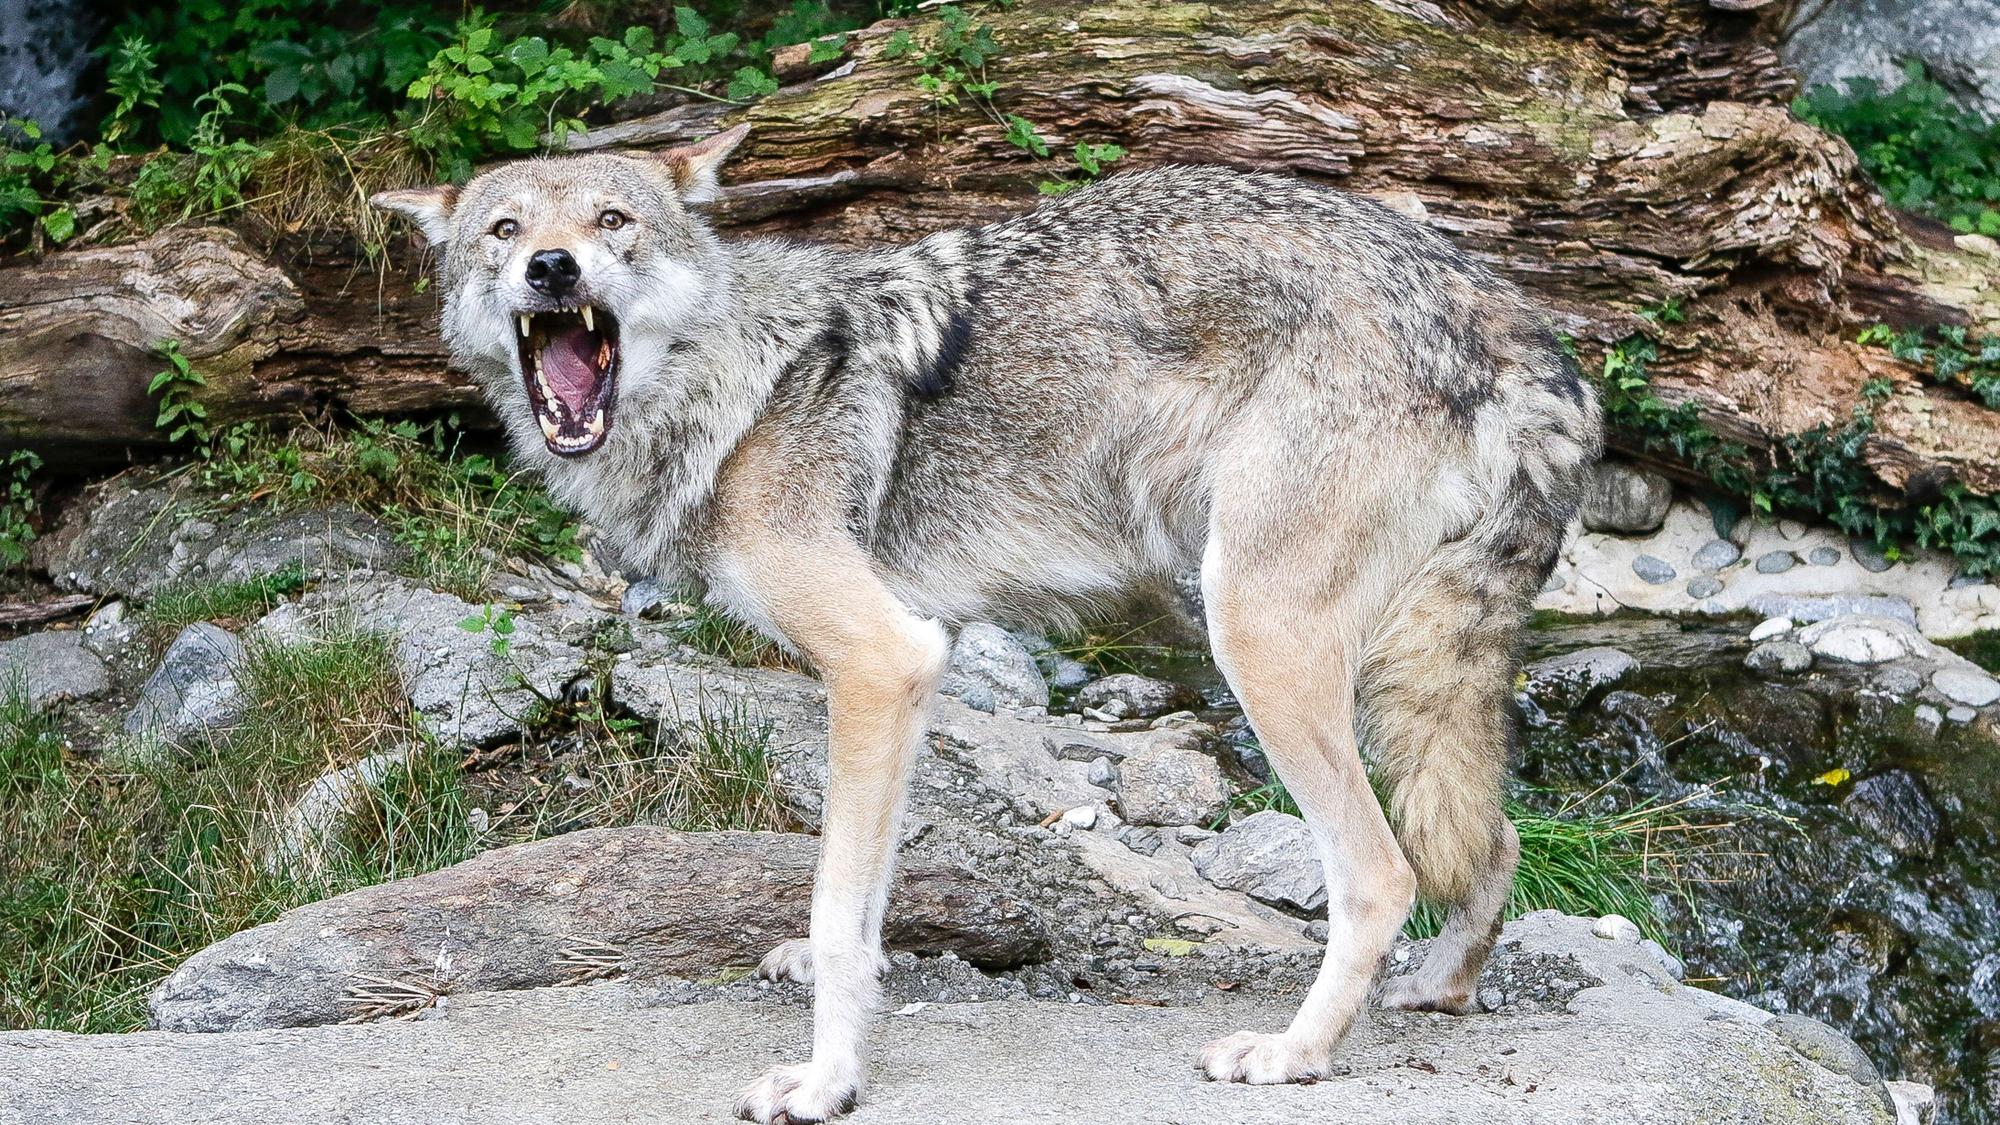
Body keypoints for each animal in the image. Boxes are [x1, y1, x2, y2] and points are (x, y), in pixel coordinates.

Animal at [373, 125, 1602, 1123]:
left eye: (611, 222)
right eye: (504, 230)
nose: (551, 269)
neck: (740, 386)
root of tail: (1509, 317)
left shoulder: (881, 664)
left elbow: (835, 904)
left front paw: (826, 1082)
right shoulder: (917, 669)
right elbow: (865, 899)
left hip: (1253, 639)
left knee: (1383, 874)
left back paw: (1294, 1052)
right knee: (1492, 836)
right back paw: (1440, 989)